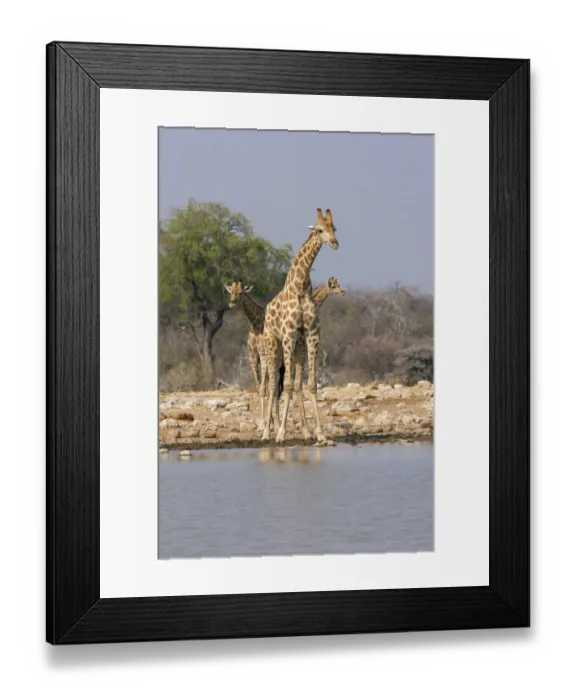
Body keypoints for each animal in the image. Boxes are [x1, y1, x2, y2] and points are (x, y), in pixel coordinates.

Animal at [261, 208, 339, 444]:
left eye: (334, 227)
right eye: (320, 229)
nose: (335, 243)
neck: (301, 287)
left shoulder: (311, 336)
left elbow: (310, 384)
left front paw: (320, 433)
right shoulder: (288, 335)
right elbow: (285, 384)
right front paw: (280, 433)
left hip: (298, 348)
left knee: (294, 383)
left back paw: (304, 431)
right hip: (273, 344)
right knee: (272, 384)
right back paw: (266, 432)